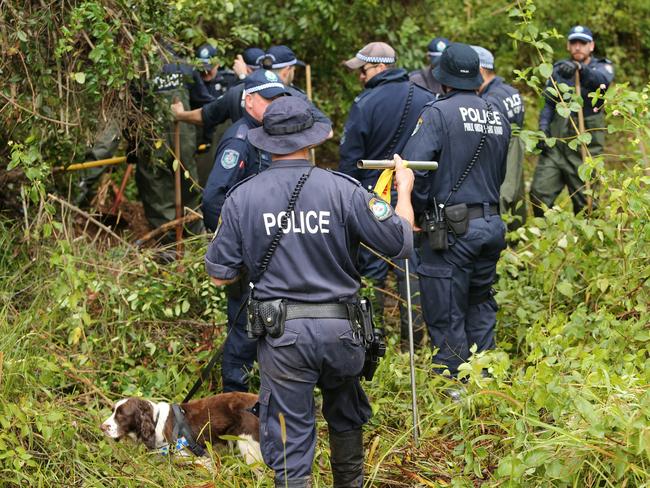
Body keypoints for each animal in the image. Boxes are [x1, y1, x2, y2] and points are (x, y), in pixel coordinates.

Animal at [99, 390, 260, 464]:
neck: (156, 422)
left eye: (121, 415)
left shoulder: (196, 458)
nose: (102, 427)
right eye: (113, 411)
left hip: (249, 448)